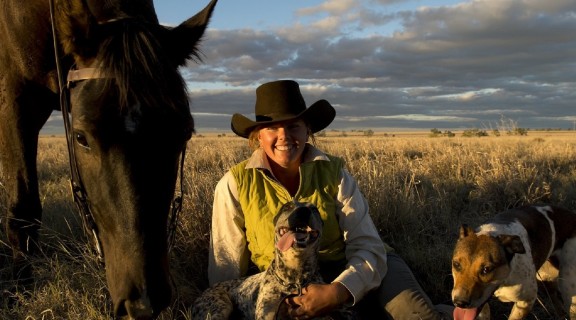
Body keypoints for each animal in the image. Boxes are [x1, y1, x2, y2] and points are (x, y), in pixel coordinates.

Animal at [0, 1, 216, 318]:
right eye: (80, 137)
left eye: (185, 132)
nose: (144, 302)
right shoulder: (16, 100)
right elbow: (23, 213)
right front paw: (20, 295)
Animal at [192, 202, 356, 320]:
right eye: (287, 207)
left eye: (314, 208)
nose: (303, 211)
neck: (294, 281)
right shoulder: (267, 313)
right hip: (220, 308)